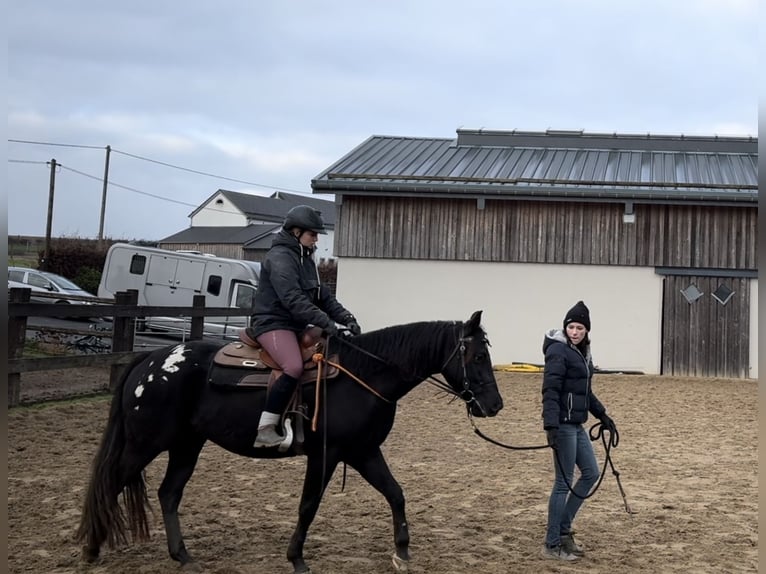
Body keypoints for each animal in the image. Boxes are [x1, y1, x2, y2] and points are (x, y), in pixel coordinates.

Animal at [78, 310, 504, 574]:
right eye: (477, 356)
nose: (495, 405)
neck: (364, 374)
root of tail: (149, 359)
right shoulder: (327, 454)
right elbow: (308, 505)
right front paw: (296, 558)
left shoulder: (364, 451)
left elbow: (395, 493)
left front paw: (401, 552)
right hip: (144, 445)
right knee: (110, 484)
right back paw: (92, 549)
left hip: (187, 445)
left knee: (168, 493)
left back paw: (182, 555)